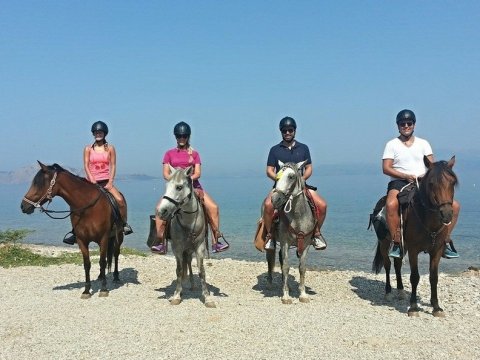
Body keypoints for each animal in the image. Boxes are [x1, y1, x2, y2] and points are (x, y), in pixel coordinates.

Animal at [19, 162, 124, 298]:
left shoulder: (104, 238)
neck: (86, 207)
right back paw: (101, 276)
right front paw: (86, 290)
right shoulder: (81, 240)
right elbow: (87, 264)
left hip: (118, 236)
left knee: (116, 254)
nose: (23, 206)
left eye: (38, 184)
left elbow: (102, 262)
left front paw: (104, 289)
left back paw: (116, 277)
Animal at [157, 166, 215, 306]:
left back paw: (193, 285)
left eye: (179, 187)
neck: (189, 221)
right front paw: (177, 295)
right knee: (185, 263)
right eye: (166, 186)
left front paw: (207, 297)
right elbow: (179, 270)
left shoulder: (199, 247)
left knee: (188, 262)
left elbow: (201, 271)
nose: (162, 211)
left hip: (189, 248)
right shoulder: (177, 247)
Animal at [266, 160, 316, 304]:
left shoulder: (306, 244)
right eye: (277, 176)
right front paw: (286, 296)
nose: (275, 199)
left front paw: (303, 294)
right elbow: (286, 267)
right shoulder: (285, 242)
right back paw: (270, 284)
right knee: (271, 260)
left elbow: (302, 268)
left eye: (291, 176)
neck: (298, 215)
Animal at [372, 156, 458, 316]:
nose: (447, 214)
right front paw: (413, 307)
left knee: (397, 264)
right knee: (387, 265)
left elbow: (434, 277)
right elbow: (414, 277)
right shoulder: (413, 250)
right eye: (431, 183)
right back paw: (388, 292)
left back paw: (400, 291)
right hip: (384, 243)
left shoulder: (436, 250)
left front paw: (436, 307)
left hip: (401, 245)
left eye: (453, 182)